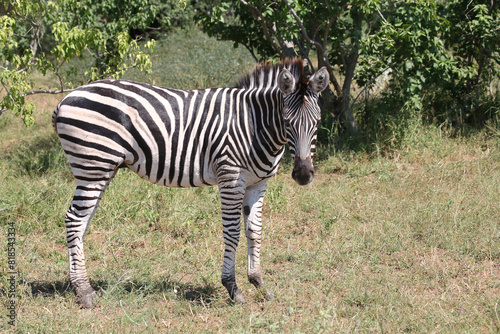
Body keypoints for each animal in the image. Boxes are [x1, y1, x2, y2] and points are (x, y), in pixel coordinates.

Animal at [52, 57, 330, 308]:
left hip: (101, 170)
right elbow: (232, 232)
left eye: (317, 123)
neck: (254, 125)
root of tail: (68, 97)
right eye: (287, 122)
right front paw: (233, 289)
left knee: (81, 223)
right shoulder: (231, 178)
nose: (303, 175)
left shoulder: (258, 184)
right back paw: (83, 292)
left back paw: (81, 285)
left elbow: (254, 231)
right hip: (93, 166)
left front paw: (259, 283)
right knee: (73, 220)